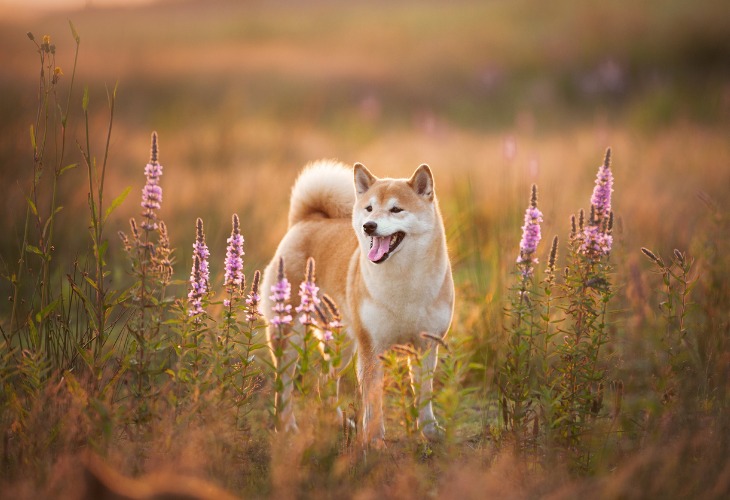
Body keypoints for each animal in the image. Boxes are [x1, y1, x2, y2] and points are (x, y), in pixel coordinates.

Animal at [262, 159, 452, 442]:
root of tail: (306, 220)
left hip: (343, 344)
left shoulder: (426, 345)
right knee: (283, 384)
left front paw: (429, 431)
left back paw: (337, 421)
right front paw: (373, 439)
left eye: (396, 209)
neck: (405, 281)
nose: (369, 225)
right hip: (290, 335)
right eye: (369, 208)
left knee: (326, 382)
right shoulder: (371, 347)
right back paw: (285, 426)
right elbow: (373, 400)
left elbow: (425, 394)